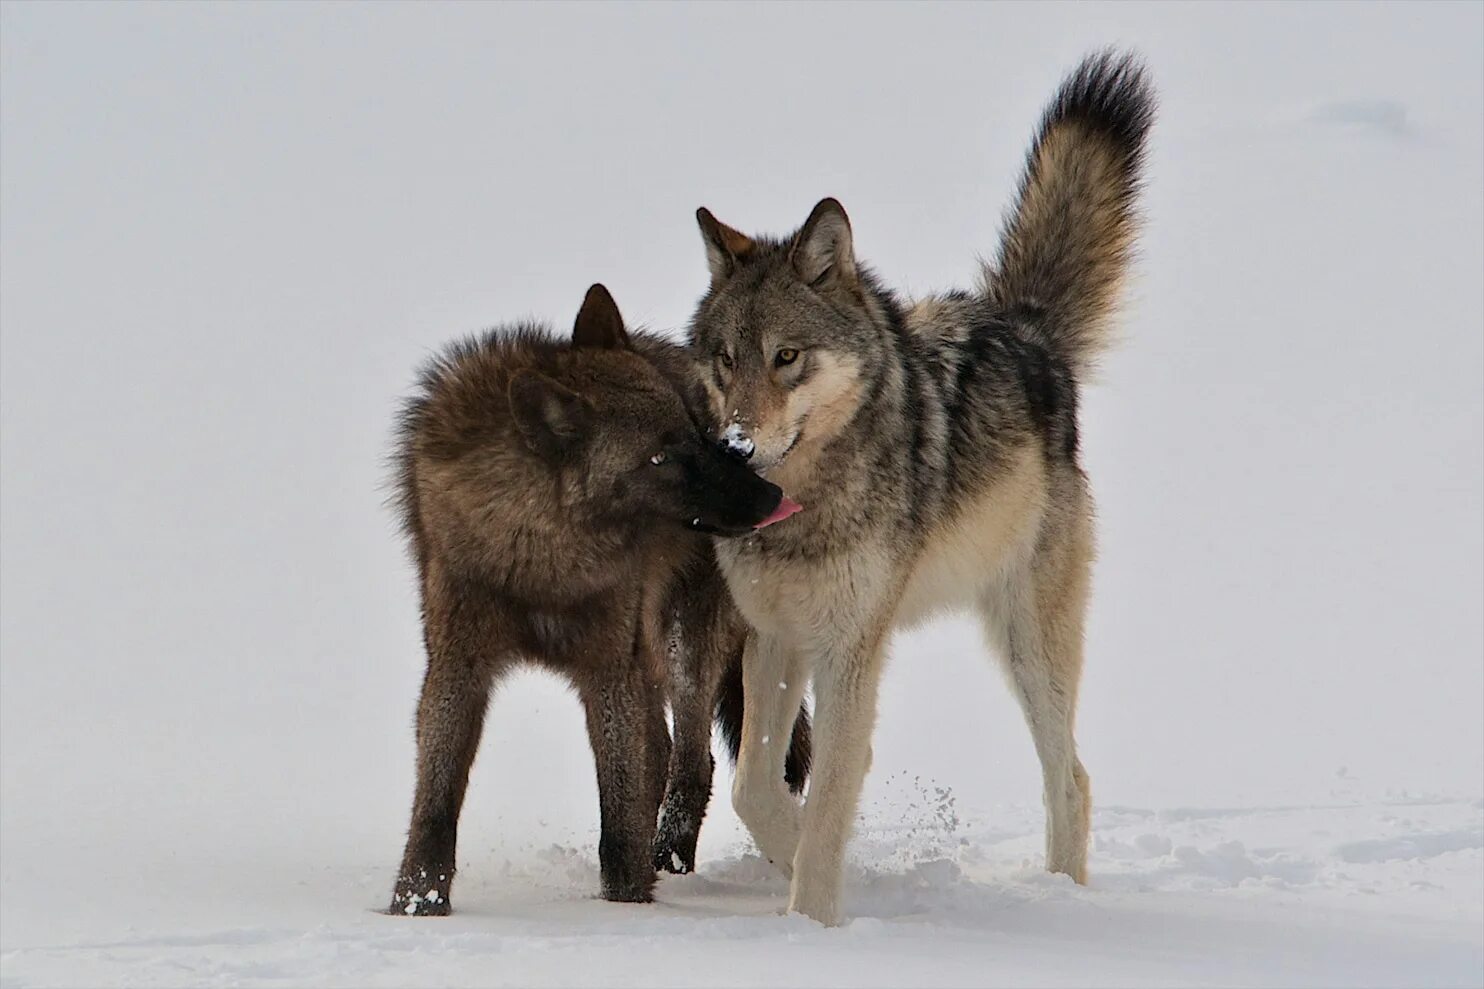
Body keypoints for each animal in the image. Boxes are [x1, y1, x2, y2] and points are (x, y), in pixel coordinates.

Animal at [388, 280, 813, 914]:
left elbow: (619, 817)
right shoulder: (457, 669)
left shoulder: (610, 668)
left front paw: (626, 908)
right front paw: (415, 908)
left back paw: (670, 862)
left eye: (695, 431)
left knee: (693, 762)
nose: (770, 496)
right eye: (660, 456)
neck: (538, 564)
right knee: (664, 752)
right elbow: (435, 807)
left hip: (681, 647)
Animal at [685, 50, 1157, 920]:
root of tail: (1027, 327)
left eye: (786, 357)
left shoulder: (849, 647)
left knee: (1072, 777)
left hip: (1028, 644)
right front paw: (797, 862)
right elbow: (754, 787)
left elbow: (828, 798)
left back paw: (1063, 899)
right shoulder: (775, 635)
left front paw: (811, 921)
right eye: (725, 359)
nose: (735, 446)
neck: (803, 511)